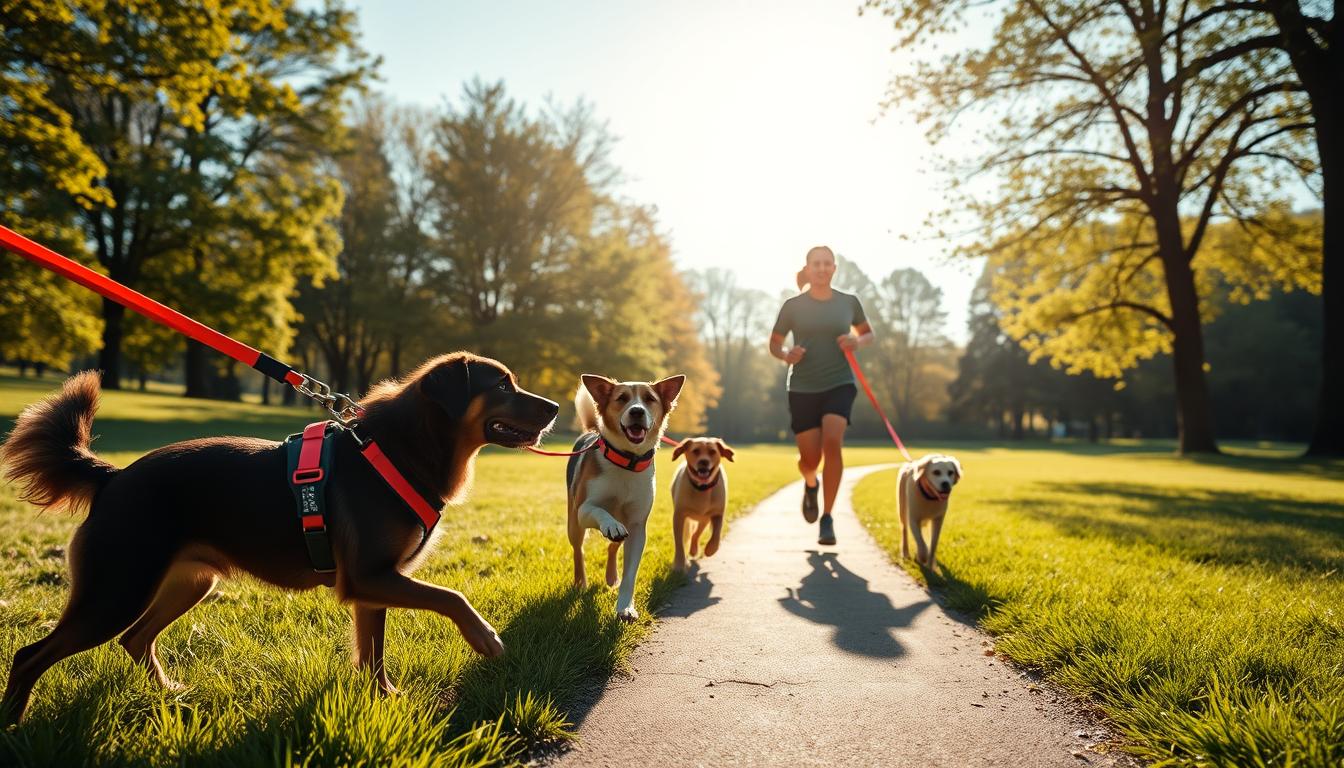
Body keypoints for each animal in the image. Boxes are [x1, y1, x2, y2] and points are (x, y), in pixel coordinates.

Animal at [0, 352, 556, 726]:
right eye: (503, 384)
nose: (553, 407)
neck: (403, 449)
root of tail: (112, 478)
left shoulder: (373, 586)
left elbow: (373, 654)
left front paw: (383, 702)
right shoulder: (370, 577)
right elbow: (453, 597)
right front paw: (484, 637)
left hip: (187, 583)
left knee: (134, 638)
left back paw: (169, 694)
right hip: (115, 590)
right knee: (31, 656)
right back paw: (14, 724)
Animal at [561, 376, 682, 621]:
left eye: (649, 399)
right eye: (622, 398)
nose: (636, 411)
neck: (627, 461)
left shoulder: (636, 527)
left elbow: (630, 575)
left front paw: (625, 608)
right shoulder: (583, 510)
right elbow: (599, 510)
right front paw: (610, 524)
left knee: (613, 547)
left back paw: (611, 577)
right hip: (573, 523)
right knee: (579, 550)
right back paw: (580, 582)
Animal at [672, 438, 736, 570]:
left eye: (712, 451)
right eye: (696, 451)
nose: (704, 461)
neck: (702, 488)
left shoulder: (717, 513)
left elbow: (716, 534)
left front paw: (710, 549)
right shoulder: (679, 516)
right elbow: (679, 542)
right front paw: (680, 564)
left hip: (704, 519)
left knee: (696, 533)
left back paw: (694, 550)